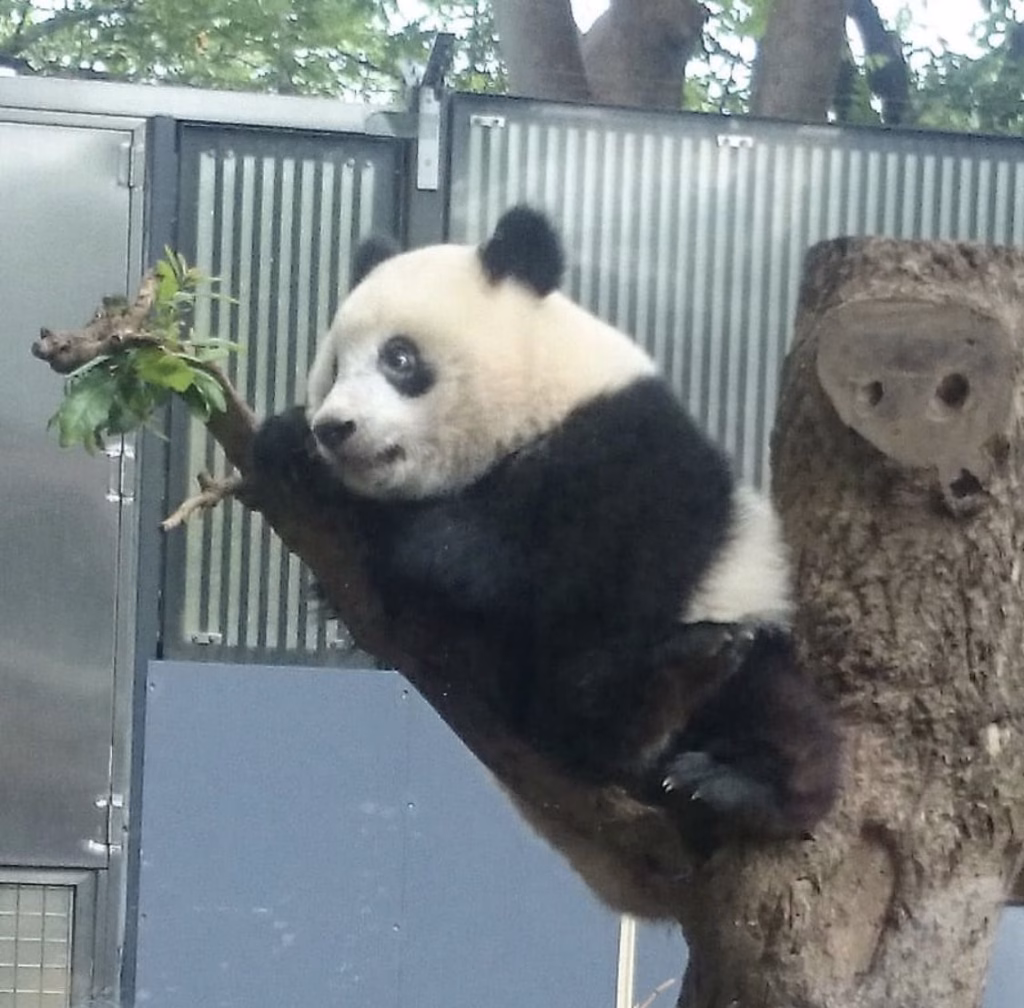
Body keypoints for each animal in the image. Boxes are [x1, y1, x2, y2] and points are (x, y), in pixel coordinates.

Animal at [253, 206, 839, 855]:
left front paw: (424, 542)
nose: (335, 427)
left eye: (398, 358)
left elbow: (557, 549)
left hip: (746, 623)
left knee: (774, 716)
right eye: (333, 368)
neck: (534, 401)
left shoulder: (633, 450)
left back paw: (720, 762)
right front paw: (291, 448)